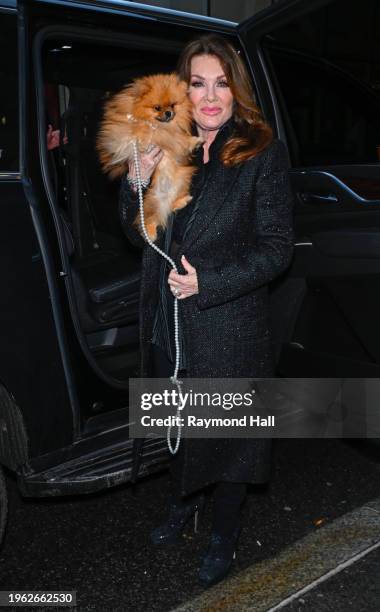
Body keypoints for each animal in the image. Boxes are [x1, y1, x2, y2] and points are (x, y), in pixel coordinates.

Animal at [95, 73, 202, 240]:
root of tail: (163, 196)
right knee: (146, 219)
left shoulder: (172, 135)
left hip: (181, 182)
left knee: (168, 207)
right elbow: (141, 131)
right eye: (157, 108)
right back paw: (151, 233)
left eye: (172, 105)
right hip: (148, 201)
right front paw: (145, 138)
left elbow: (180, 139)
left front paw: (195, 141)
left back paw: (182, 201)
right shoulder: (124, 133)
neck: (161, 125)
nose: (169, 113)